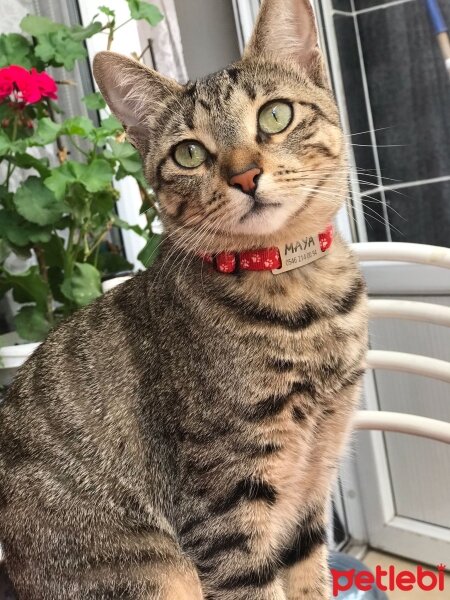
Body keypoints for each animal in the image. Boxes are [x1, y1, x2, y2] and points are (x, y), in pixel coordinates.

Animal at [0, 0, 366, 596]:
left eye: (275, 116)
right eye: (189, 153)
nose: (245, 175)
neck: (302, 300)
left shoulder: (313, 483)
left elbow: (310, 580)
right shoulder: (224, 508)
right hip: (156, 571)